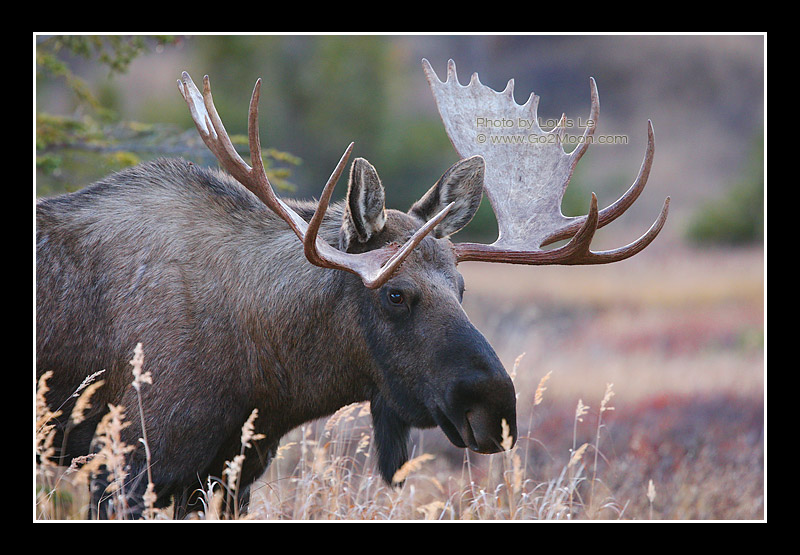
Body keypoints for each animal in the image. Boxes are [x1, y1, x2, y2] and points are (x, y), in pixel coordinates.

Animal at [35, 58, 668, 519]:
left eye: (462, 287)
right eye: (395, 294)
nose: (496, 408)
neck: (264, 371)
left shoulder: (228, 474)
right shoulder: (129, 463)